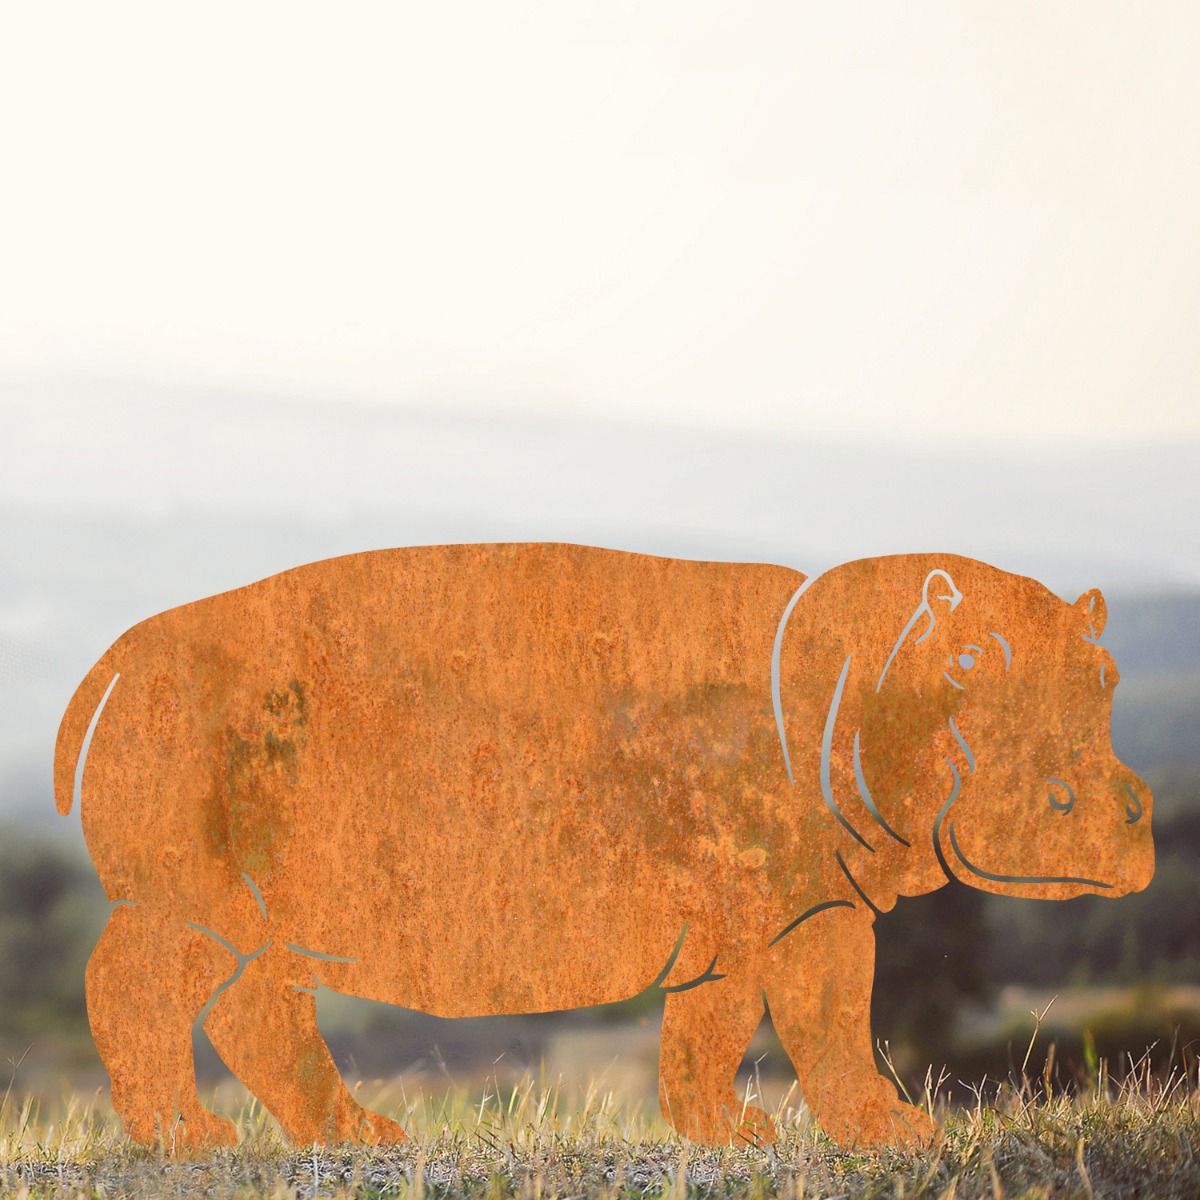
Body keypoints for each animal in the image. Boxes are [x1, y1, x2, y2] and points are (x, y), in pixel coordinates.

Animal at [54, 544, 1154, 1150]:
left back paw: (356, 1137)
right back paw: (194, 1145)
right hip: (191, 904)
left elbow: (758, 1024)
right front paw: (880, 1135)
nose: (1116, 804)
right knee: (137, 991)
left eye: (1104, 672)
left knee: (257, 1010)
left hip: (263, 918)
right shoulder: (781, 907)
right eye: (966, 662)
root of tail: (123, 650)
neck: (864, 659)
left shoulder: (803, 906)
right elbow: (807, 1022)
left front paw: (766, 1134)